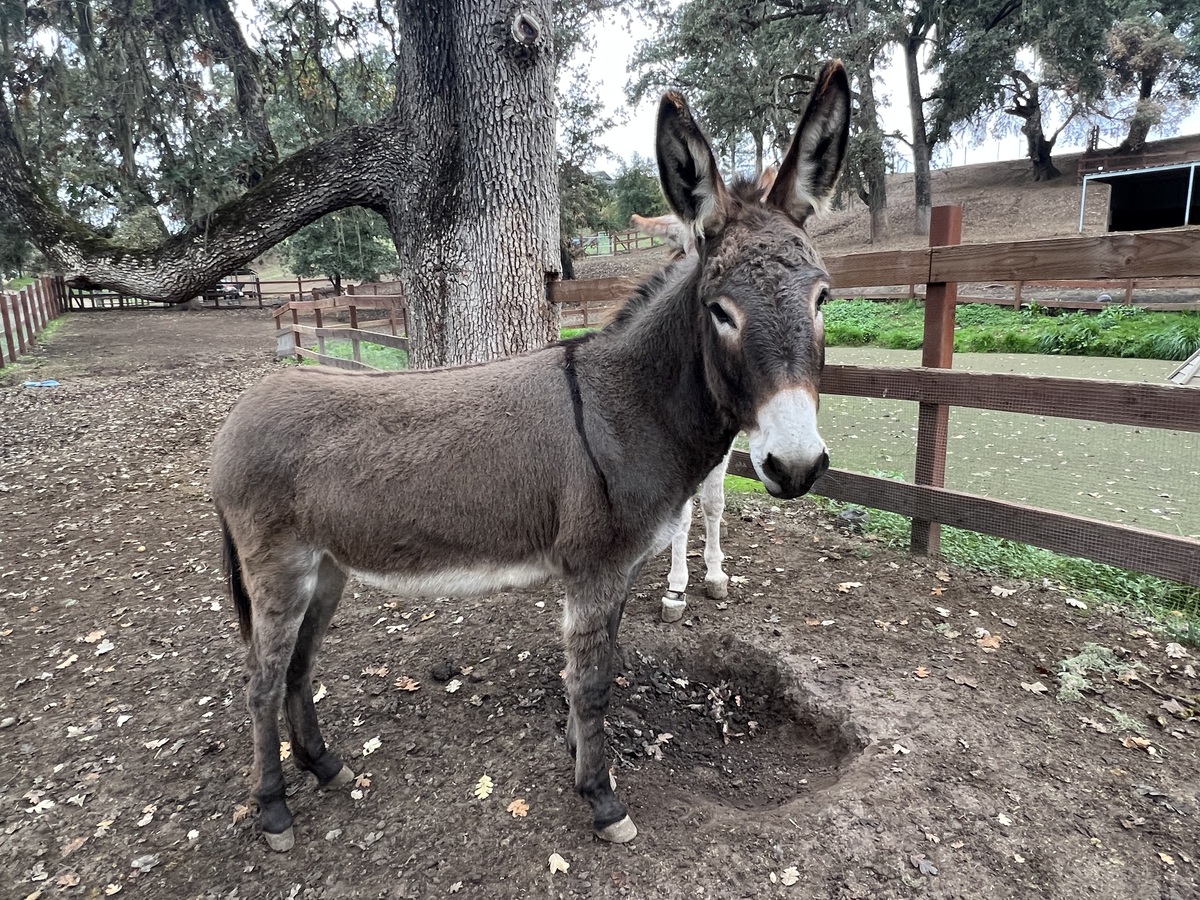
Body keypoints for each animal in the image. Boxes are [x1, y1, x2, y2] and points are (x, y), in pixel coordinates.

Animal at [210, 59, 849, 851]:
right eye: (719, 311)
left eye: (823, 299)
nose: (796, 467)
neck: (625, 407)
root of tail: (237, 417)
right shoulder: (593, 569)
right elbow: (592, 682)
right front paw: (601, 797)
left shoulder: (618, 569)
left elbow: (597, 672)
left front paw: (579, 756)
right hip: (278, 567)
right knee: (262, 680)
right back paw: (273, 807)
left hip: (325, 567)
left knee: (299, 667)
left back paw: (325, 766)